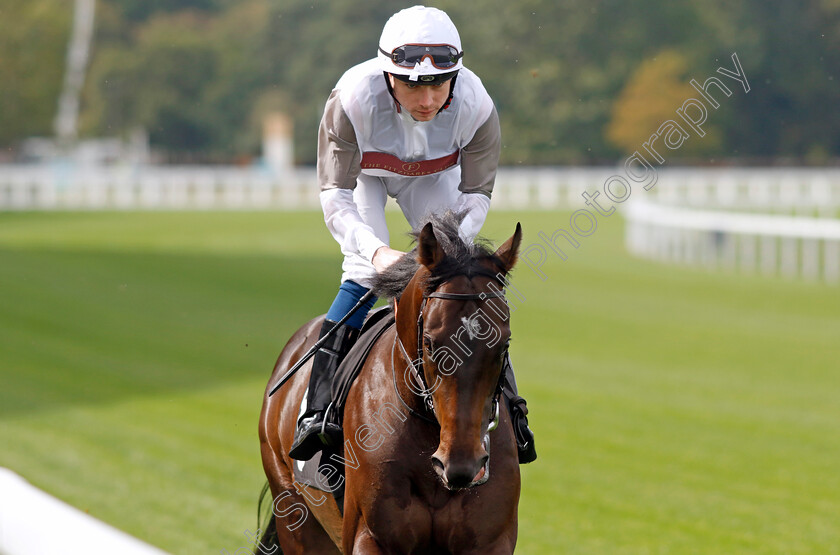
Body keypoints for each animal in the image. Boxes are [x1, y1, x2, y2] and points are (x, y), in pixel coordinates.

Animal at [260, 217, 520, 555]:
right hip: (293, 509)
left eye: (503, 345)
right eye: (429, 343)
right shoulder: (371, 537)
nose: (463, 464)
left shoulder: (491, 540)